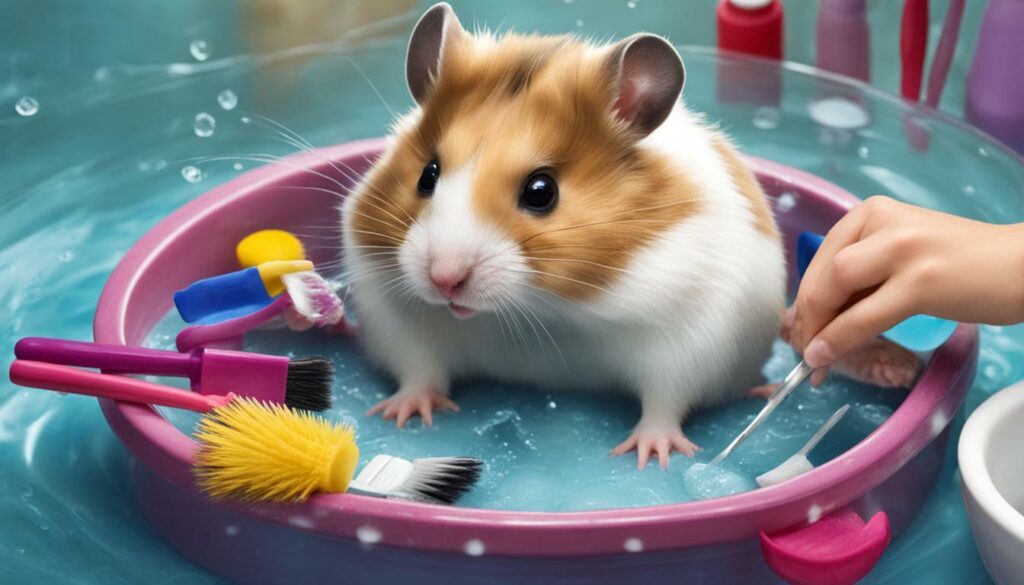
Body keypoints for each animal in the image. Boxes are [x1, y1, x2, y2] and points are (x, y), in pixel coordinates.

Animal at [341, 3, 786, 469]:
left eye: (541, 191)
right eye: (427, 175)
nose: (445, 280)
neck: (539, 309)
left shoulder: (686, 341)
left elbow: (664, 404)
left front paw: (648, 455)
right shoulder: (400, 324)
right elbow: (419, 373)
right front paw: (400, 415)